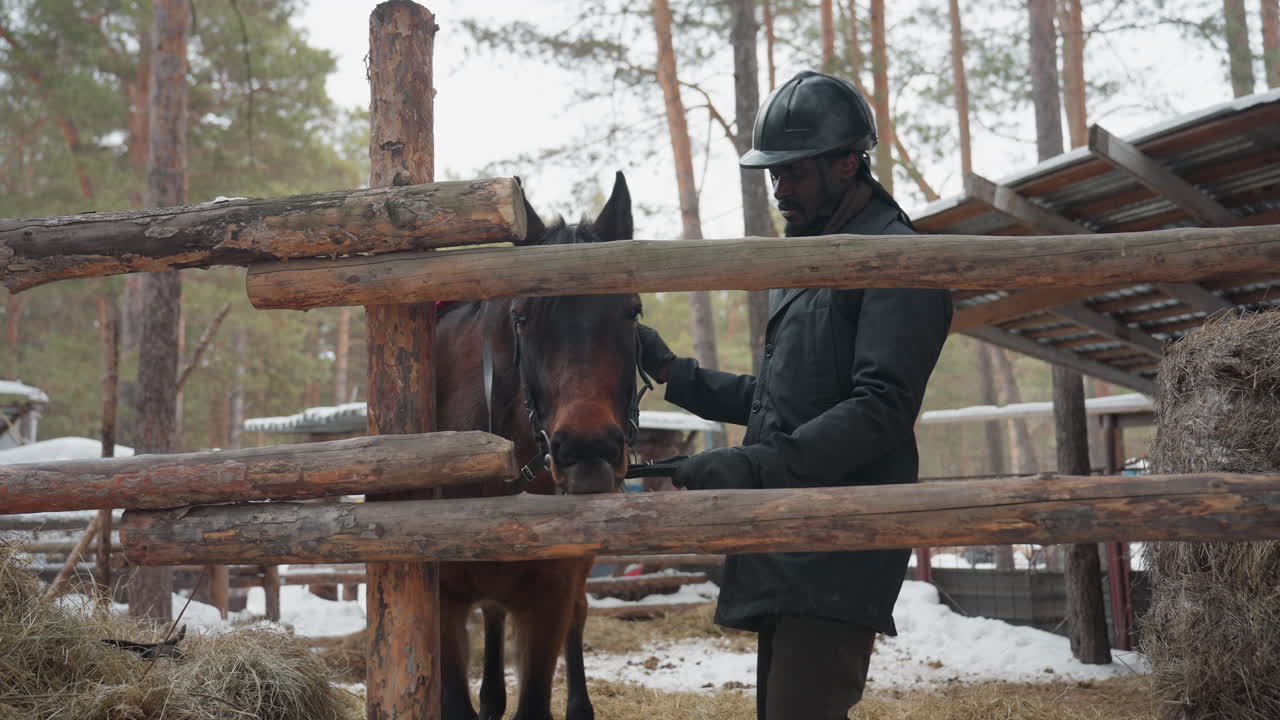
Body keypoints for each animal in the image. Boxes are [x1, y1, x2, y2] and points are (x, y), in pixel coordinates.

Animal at [435, 171, 643, 720]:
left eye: (632, 312)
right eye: (522, 318)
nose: (587, 451)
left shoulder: (550, 595)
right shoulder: (440, 601)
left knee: (578, 614)